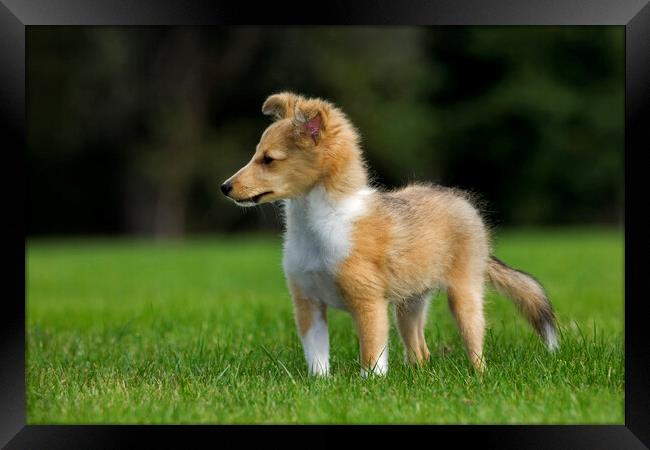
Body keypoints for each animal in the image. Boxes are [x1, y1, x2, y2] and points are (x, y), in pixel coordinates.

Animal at [220, 92, 556, 376]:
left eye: (269, 159)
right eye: (256, 154)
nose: (225, 187)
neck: (321, 226)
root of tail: (462, 203)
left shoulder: (368, 302)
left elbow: (372, 355)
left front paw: (370, 386)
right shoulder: (308, 303)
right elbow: (317, 357)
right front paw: (320, 386)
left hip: (464, 293)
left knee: (474, 345)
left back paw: (478, 376)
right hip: (410, 303)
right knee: (420, 351)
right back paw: (417, 375)